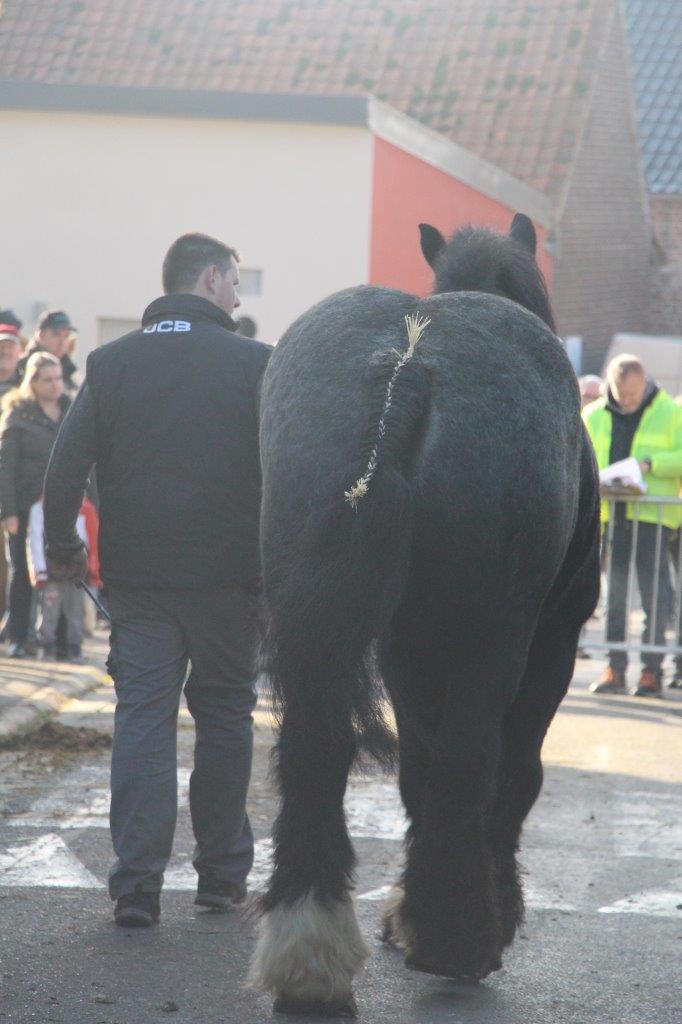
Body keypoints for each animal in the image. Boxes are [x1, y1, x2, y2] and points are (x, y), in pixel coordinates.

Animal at [246, 214, 598, 1015]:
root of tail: (407, 365)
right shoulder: (551, 642)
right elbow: (510, 773)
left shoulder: (408, 648)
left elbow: (417, 768)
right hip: (492, 638)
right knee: (477, 759)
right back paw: (461, 940)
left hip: (323, 624)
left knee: (317, 746)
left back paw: (310, 953)